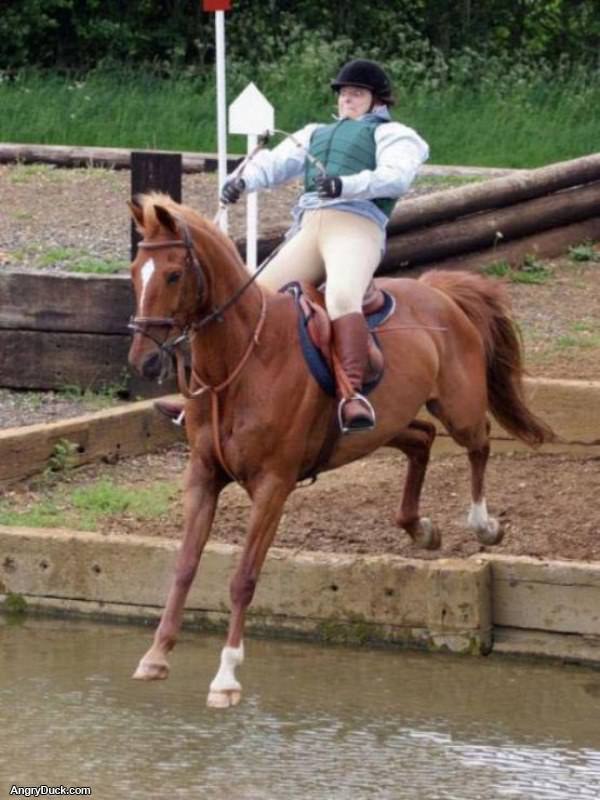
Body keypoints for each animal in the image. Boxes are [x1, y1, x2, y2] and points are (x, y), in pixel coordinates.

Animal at [127, 192, 554, 708]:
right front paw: (156, 654)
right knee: (421, 439)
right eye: (135, 271)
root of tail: (438, 291)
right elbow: (185, 566)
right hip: (385, 426)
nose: (144, 361)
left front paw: (226, 676)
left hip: (459, 407)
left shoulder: (273, 487)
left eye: (173, 274)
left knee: (480, 442)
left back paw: (483, 525)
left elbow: (243, 578)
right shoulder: (204, 476)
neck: (242, 363)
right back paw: (420, 529)